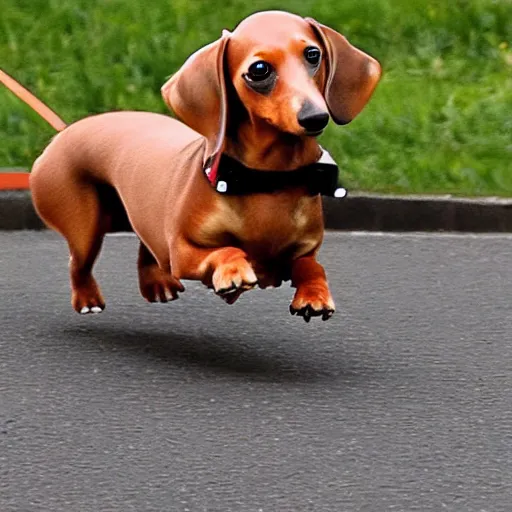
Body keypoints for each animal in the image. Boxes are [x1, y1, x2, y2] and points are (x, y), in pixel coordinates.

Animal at [1, 11, 380, 320]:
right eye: (259, 70)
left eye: (313, 55)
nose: (316, 117)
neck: (268, 182)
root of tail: (65, 131)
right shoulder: (184, 252)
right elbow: (226, 249)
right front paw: (233, 271)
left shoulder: (303, 251)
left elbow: (312, 267)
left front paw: (315, 296)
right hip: (86, 225)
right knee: (79, 262)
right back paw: (88, 299)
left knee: (149, 247)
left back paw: (158, 284)